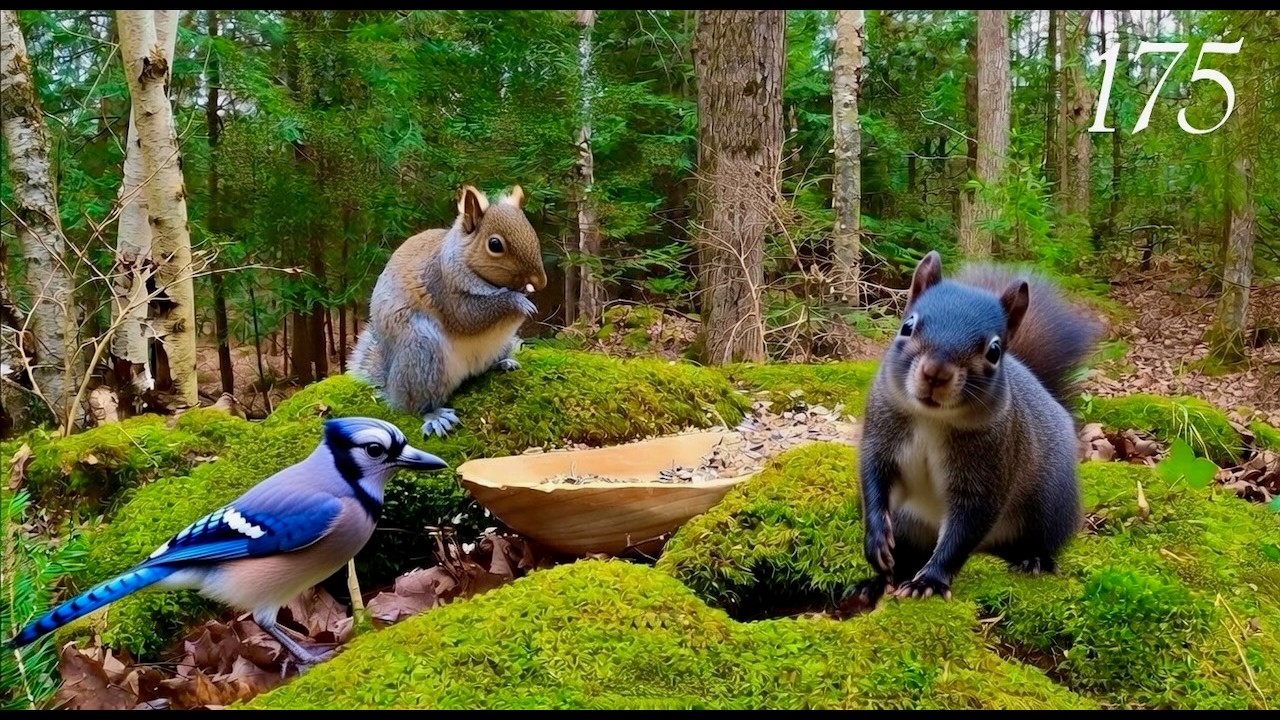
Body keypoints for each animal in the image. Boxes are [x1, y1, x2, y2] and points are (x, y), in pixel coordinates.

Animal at [349, 184, 547, 438]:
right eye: (495, 245)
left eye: (532, 232)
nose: (540, 282)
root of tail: (392, 386)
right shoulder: (443, 287)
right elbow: (469, 316)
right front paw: (519, 302)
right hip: (422, 355)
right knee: (415, 406)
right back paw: (435, 416)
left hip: (499, 344)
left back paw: (504, 363)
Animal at [849, 250, 1103, 605]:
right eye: (907, 326)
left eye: (994, 351)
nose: (936, 372)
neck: (932, 419)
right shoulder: (880, 439)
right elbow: (874, 484)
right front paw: (875, 543)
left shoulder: (986, 472)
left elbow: (963, 531)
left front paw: (929, 581)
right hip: (908, 524)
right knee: (908, 556)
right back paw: (878, 582)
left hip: (1049, 509)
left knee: (1038, 543)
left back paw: (1032, 560)